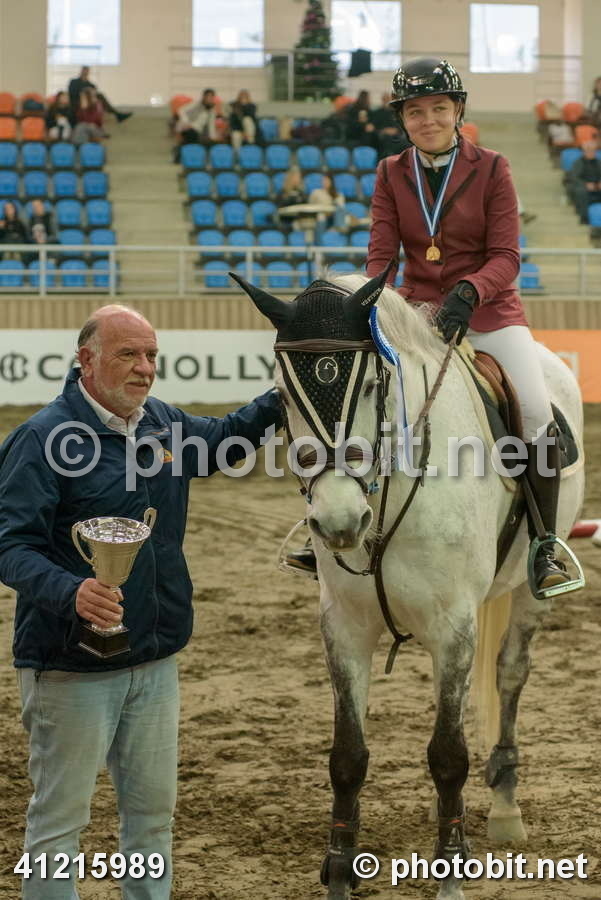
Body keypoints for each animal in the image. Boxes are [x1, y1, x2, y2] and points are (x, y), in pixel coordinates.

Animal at [231, 267, 585, 900]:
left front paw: (451, 869)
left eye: (374, 384)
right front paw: (340, 869)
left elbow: (448, 755)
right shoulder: (344, 628)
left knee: (511, 673)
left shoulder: (454, 629)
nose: (340, 522)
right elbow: (348, 757)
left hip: (527, 590)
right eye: (283, 395)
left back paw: (504, 806)